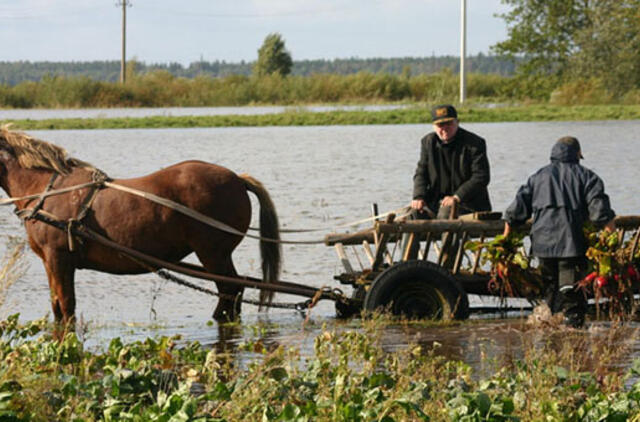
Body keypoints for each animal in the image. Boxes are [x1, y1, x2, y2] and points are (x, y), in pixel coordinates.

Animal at [0, 127, 280, 328]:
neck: (46, 189)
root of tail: (238, 180)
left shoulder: (59, 258)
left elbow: (66, 307)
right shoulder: (50, 261)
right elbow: (57, 306)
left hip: (213, 254)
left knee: (230, 291)